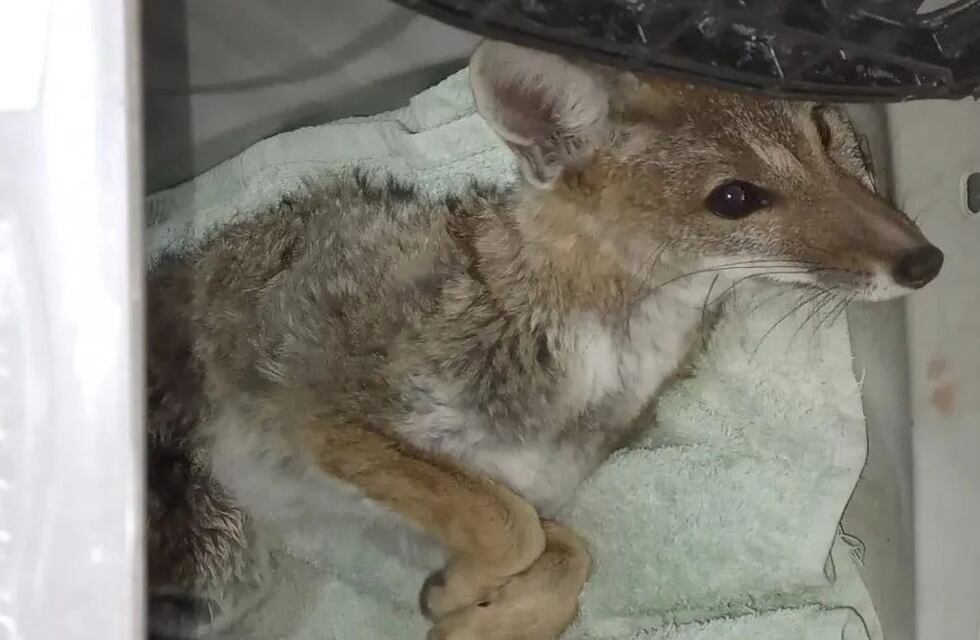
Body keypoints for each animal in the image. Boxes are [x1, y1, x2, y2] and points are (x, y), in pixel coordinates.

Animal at [147, 39, 943, 640]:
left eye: (823, 133)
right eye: (735, 198)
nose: (927, 261)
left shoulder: (444, 509)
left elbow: (565, 555)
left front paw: (467, 613)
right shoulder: (327, 417)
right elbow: (511, 527)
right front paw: (468, 596)